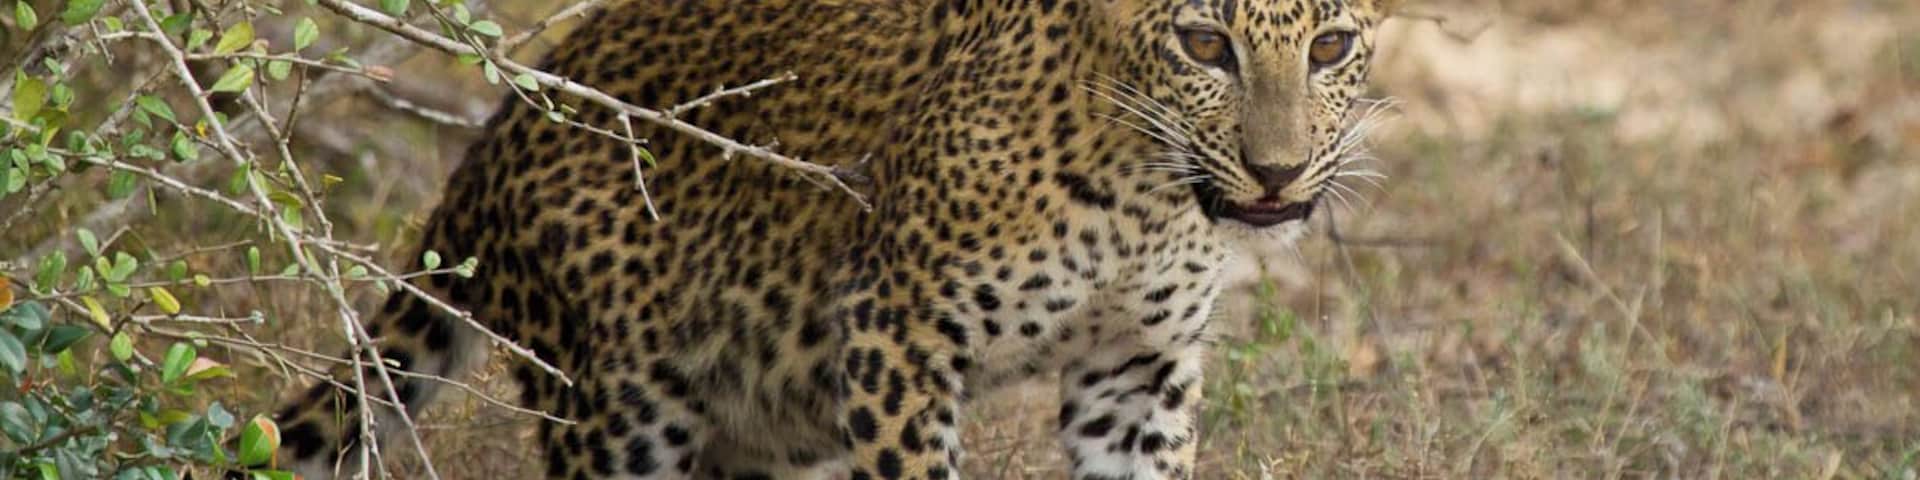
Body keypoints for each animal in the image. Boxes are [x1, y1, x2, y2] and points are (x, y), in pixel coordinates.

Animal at [270, 0, 1401, 478]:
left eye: (1330, 47)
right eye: (1204, 44)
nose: (1276, 172)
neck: (1143, 197)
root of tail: (495, 136)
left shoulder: (1136, 371)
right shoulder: (898, 334)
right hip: (617, 409)